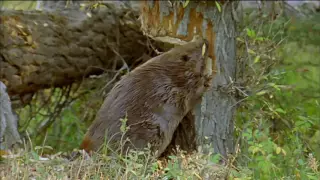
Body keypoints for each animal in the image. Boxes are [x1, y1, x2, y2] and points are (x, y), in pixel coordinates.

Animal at [80, 36, 212, 158]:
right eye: (201, 48)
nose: (205, 39)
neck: (172, 69)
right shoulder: (178, 88)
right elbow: (193, 93)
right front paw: (208, 80)